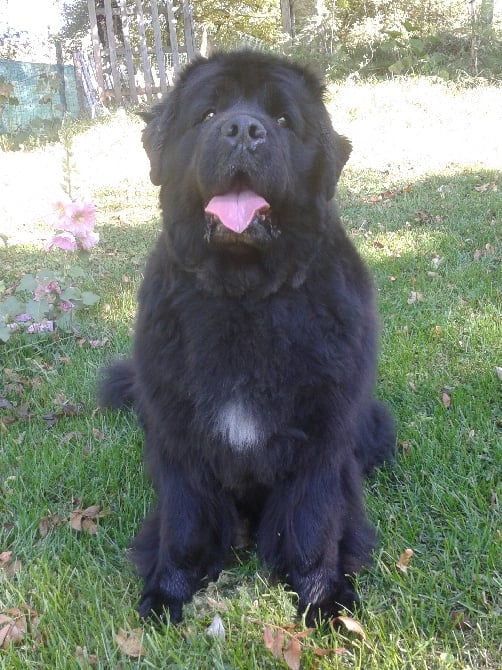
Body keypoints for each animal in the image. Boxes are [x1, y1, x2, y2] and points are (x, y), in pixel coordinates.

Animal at [99, 50, 396, 628]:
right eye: (210, 114)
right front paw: (166, 595)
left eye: (282, 119)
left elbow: (312, 526)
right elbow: (185, 526)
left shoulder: (320, 439)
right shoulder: (181, 439)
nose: (243, 130)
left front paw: (323, 600)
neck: (244, 297)